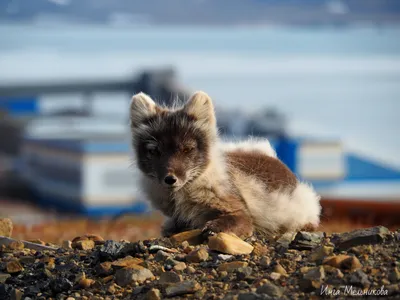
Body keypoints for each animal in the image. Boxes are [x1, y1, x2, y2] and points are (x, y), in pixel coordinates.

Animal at [130, 90, 320, 238]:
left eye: (187, 149)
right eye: (154, 151)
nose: (170, 179)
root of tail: (271, 156)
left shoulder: (239, 210)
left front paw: (213, 228)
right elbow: (171, 226)